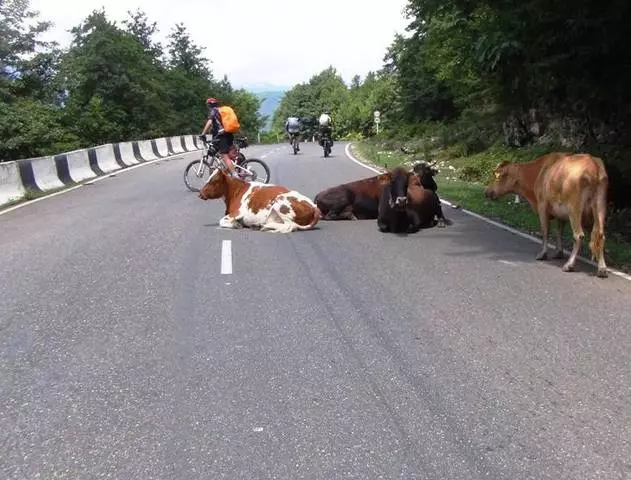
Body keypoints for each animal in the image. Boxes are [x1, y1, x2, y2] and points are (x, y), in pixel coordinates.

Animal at [484, 150, 612, 278]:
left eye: (497, 177)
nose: (486, 192)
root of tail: (593, 164)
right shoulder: (561, 211)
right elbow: (559, 231)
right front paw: (558, 252)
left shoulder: (542, 206)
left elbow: (545, 230)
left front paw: (543, 254)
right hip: (600, 206)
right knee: (600, 235)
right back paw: (602, 269)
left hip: (574, 208)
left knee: (578, 235)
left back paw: (569, 265)